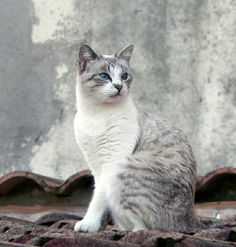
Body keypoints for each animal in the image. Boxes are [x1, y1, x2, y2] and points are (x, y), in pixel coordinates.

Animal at [74, 43, 203, 233]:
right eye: (104, 76)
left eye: (124, 76)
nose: (119, 86)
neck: (96, 113)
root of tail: (190, 218)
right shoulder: (95, 165)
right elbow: (99, 197)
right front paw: (98, 225)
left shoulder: (110, 162)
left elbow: (97, 200)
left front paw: (88, 224)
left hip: (121, 169)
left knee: (145, 227)